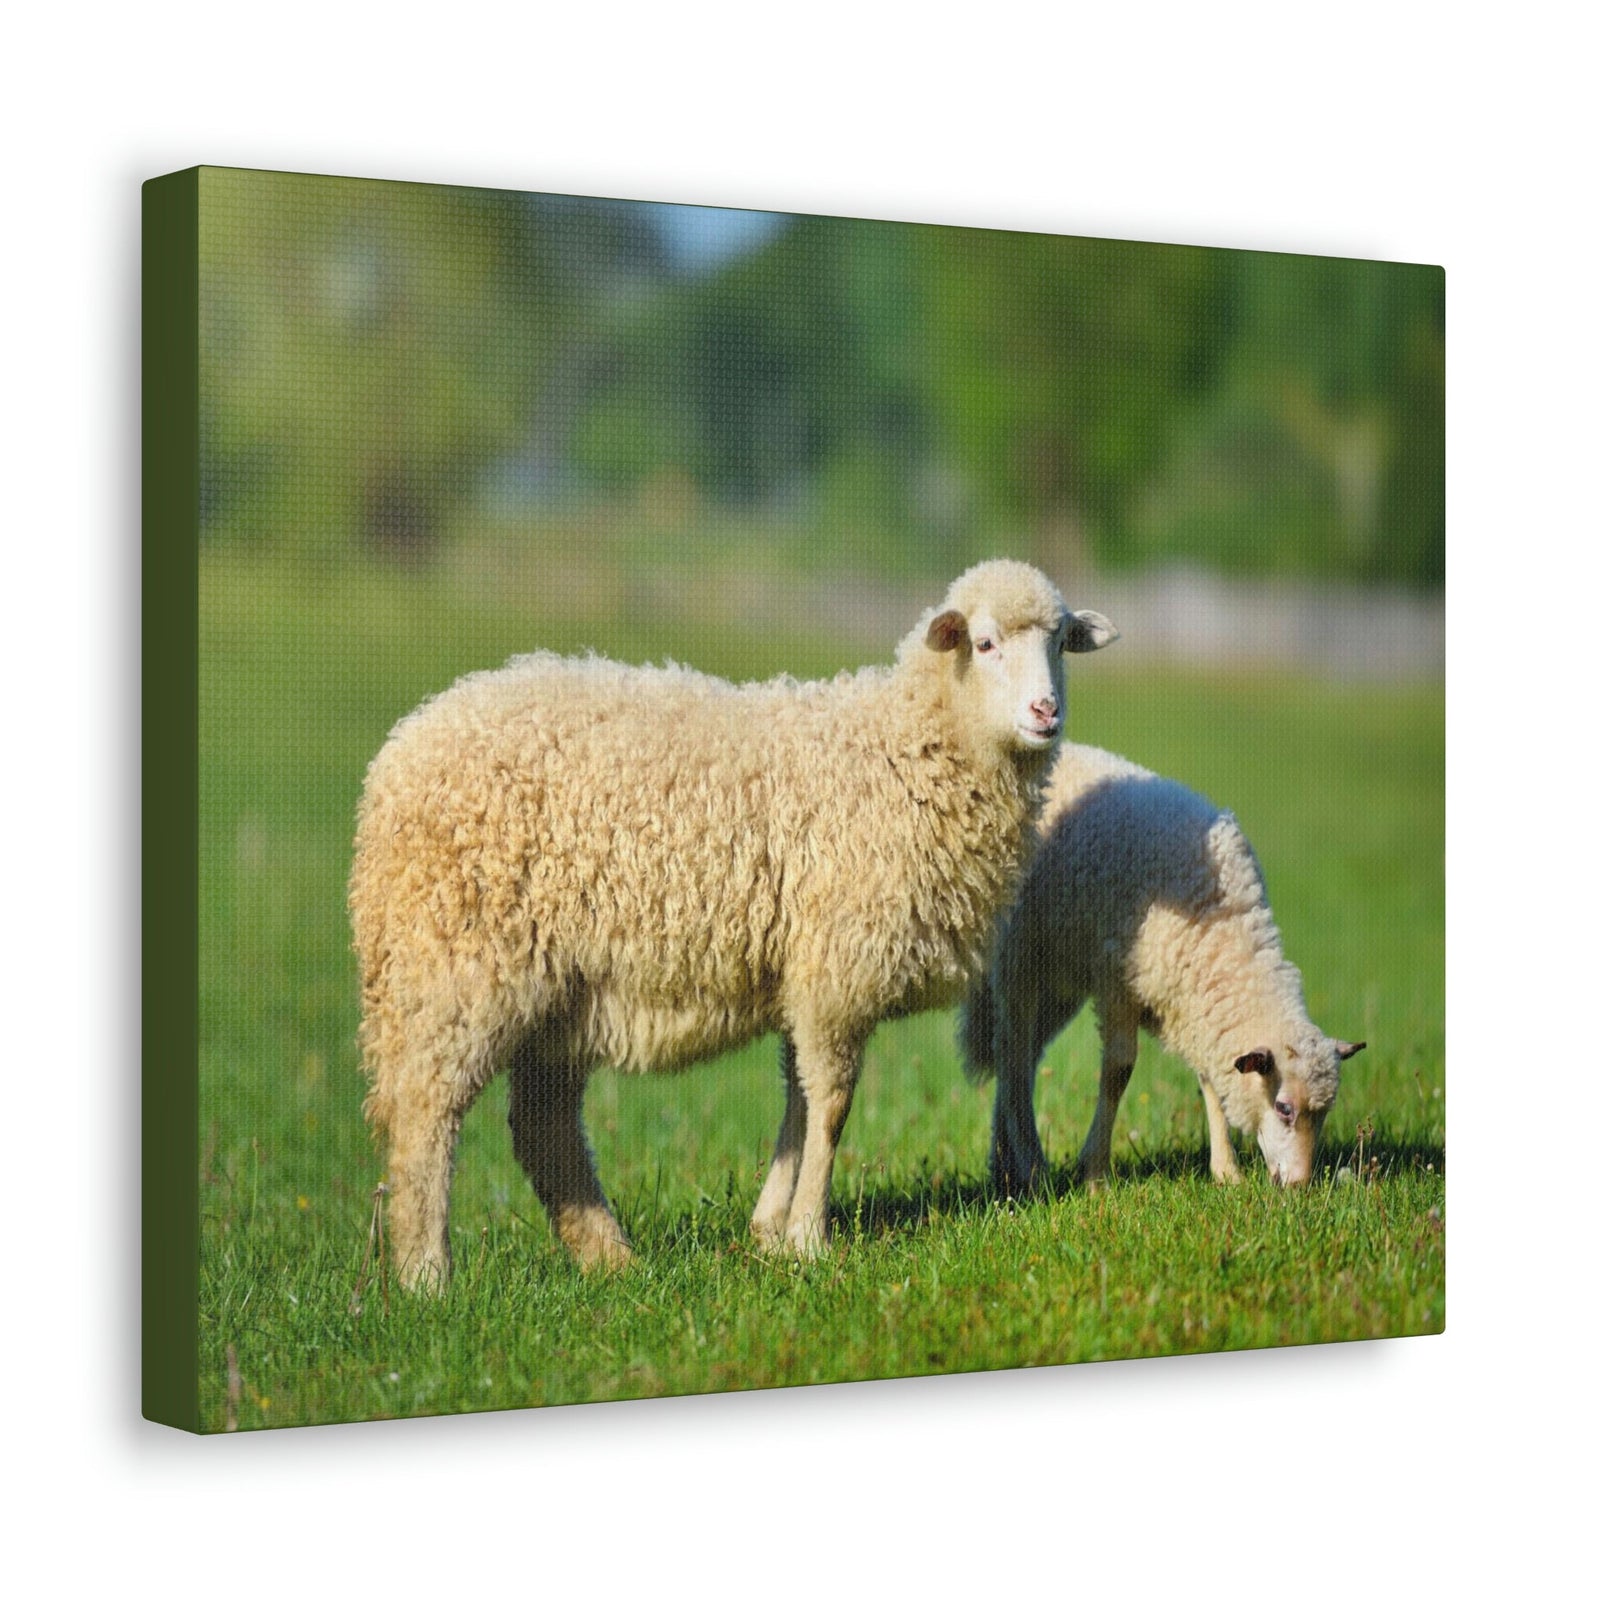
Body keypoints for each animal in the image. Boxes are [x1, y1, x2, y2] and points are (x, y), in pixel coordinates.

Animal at [350, 560, 1119, 1286]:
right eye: (984, 644)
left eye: (1061, 642)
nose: (1046, 711)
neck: (906, 748)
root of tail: (396, 757)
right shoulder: (837, 969)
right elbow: (832, 1105)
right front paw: (809, 1237)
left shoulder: (805, 974)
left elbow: (798, 1103)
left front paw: (769, 1229)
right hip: (455, 963)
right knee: (424, 1113)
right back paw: (427, 1276)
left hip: (559, 992)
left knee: (543, 1127)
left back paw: (609, 1260)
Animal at [962, 741, 1365, 1192]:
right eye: (1283, 1108)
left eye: (1324, 1112)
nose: (1298, 1185)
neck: (1221, 927)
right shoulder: (1118, 983)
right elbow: (1118, 1072)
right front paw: (1095, 1172)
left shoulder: (1191, 1002)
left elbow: (1209, 1079)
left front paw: (1226, 1172)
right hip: (1020, 960)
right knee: (1012, 1055)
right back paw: (1027, 1165)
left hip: (1058, 981)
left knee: (1021, 1058)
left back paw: (1005, 1165)